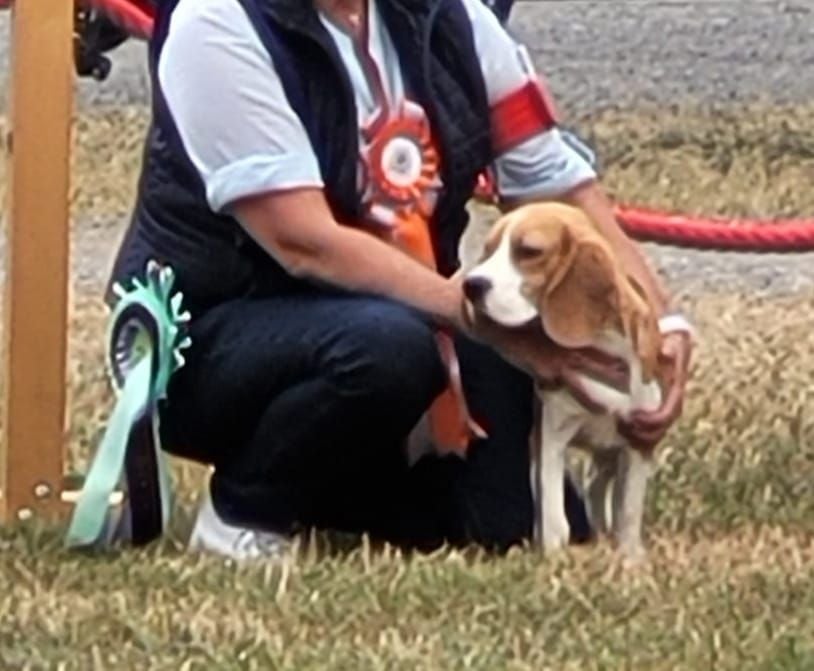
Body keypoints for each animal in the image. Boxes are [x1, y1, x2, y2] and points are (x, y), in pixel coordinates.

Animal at [462, 202, 692, 560]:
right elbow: (553, 512)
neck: (602, 343)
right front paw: (554, 556)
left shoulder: (639, 440)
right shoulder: (551, 434)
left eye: (529, 251)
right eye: (487, 250)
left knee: (599, 486)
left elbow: (628, 510)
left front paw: (630, 559)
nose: (471, 285)